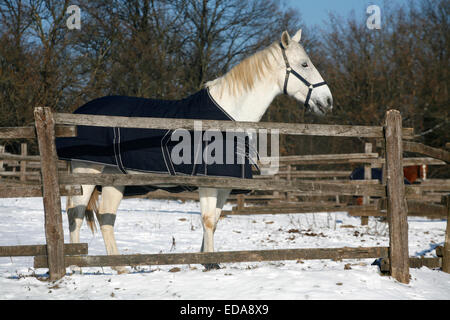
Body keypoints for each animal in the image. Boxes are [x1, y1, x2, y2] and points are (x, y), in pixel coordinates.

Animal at [67, 29, 334, 272]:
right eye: (304, 64)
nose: (328, 101)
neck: (228, 116)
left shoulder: (224, 185)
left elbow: (214, 220)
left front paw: (210, 262)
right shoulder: (207, 182)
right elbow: (206, 220)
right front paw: (209, 263)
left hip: (115, 178)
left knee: (106, 217)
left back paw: (119, 267)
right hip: (86, 172)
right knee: (75, 214)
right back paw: (77, 267)